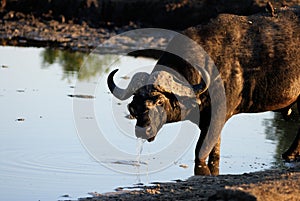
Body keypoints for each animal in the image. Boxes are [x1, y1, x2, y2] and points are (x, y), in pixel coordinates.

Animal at [108, 5, 300, 175]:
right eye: (134, 106)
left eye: (160, 101)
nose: (142, 130)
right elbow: (214, 153)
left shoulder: (217, 118)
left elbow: (200, 152)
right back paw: (289, 155)